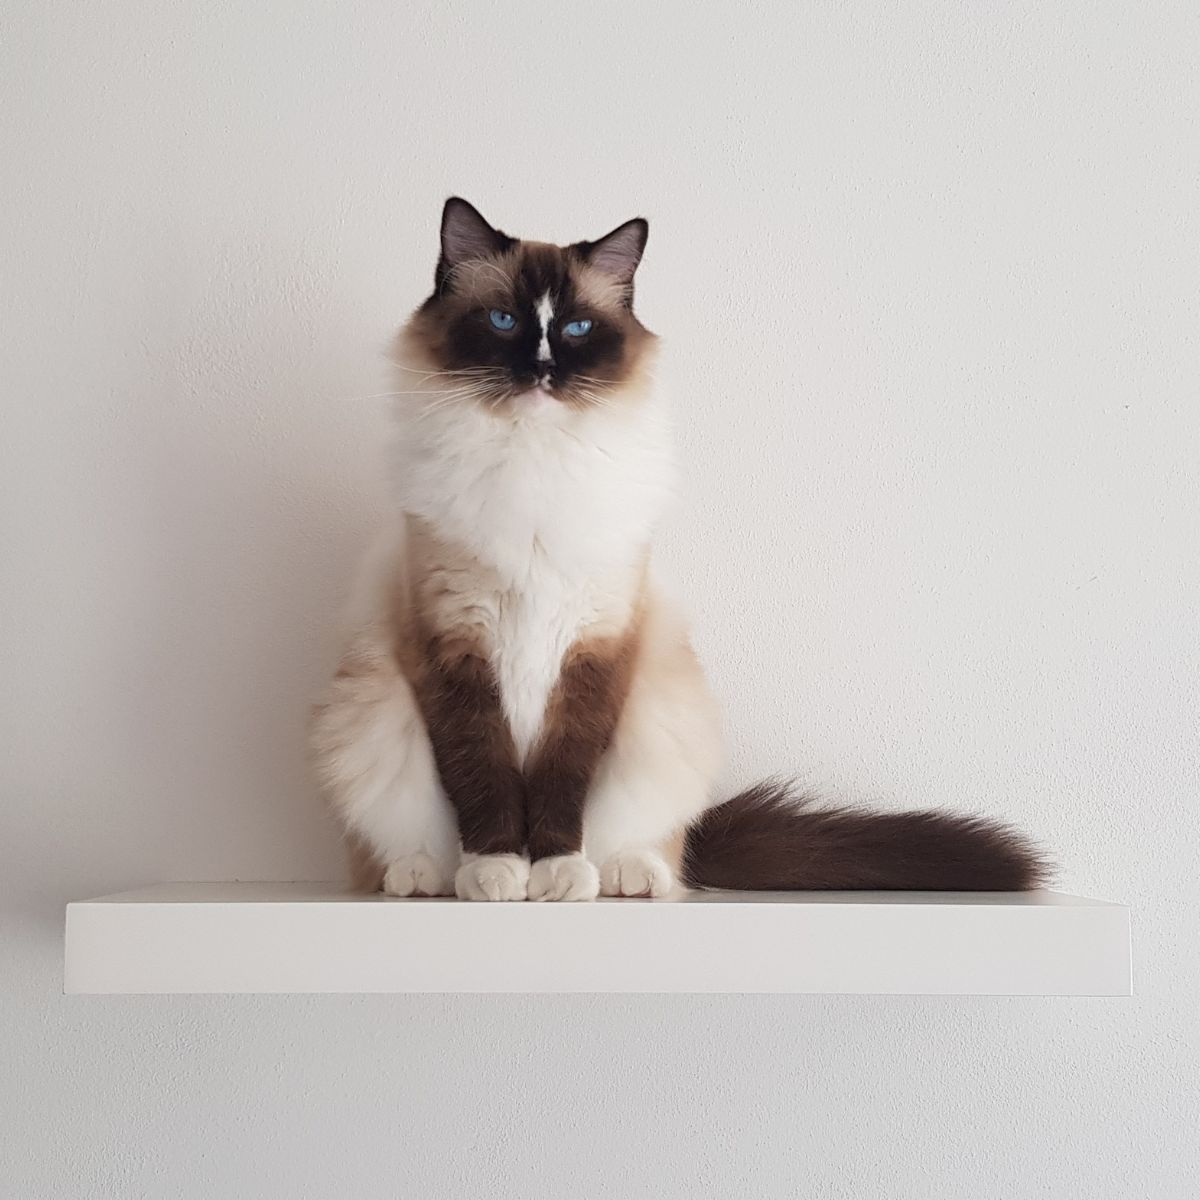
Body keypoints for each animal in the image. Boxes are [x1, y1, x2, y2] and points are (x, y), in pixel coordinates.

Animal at [312, 196, 1051, 897]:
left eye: (576, 330)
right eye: (503, 322)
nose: (543, 371)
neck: (534, 456)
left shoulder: (596, 647)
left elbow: (562, 781)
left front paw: (554, 872)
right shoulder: (454, 644)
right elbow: (482, 774)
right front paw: (496, 870)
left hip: (662, 714)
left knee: (661, 854)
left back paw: (624, 875)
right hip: (372, 714)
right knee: (396, 845)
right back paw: (424, 875)